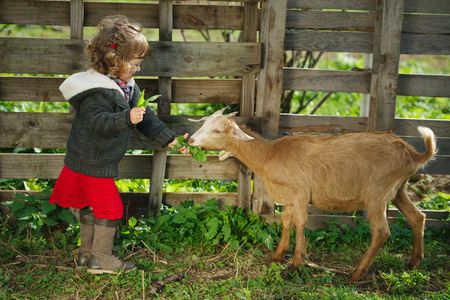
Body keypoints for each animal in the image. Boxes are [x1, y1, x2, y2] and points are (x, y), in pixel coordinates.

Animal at [188, 107, 438, 282]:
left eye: (217, 130)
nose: (190, 140)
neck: (270, 155)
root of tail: (414, 154)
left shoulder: (301, 193)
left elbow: (300, 222)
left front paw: (296, 262)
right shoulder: (290, 196)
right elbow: (286, 221)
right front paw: (277, 256)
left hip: (377, 193)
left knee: (381, 231)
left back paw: (356, 274)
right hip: (398, 189)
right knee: (418, 217)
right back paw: (413, 263)